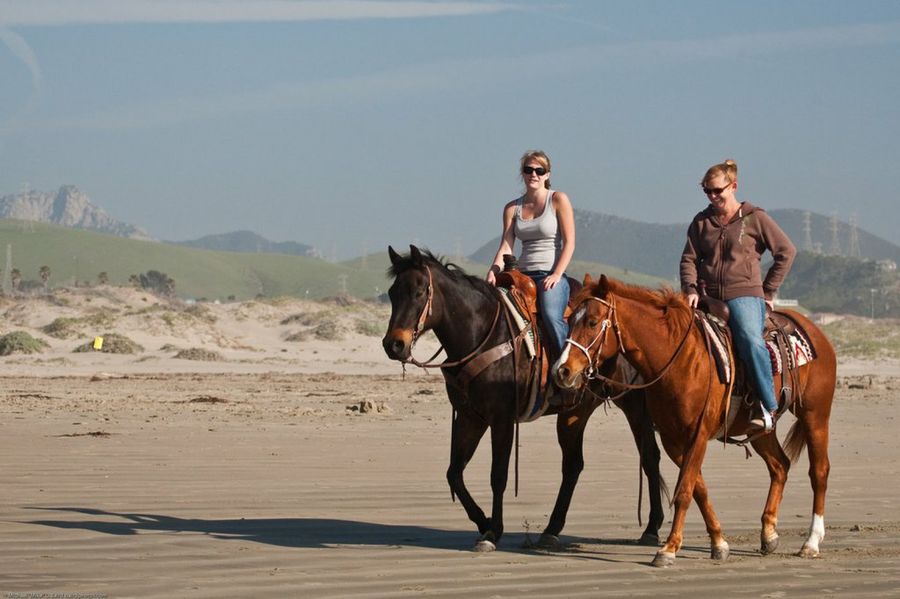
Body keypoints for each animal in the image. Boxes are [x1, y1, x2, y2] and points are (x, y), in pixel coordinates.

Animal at [382, 245, 666, 552]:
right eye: (392, 293)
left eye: (419, 292)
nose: (393, 344)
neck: (482, 333)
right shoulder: (471, 417)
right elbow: (454, 473)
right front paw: (483, 522)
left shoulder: (502, 418)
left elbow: (498, 475)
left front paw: (493, 532)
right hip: (574, 413)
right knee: (573, 466)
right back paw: (552, 530)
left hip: (634, 404)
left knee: (650, 457)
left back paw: (652, 528)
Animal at [554, 274, 836, 567]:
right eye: (570, 320)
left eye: (592, 322)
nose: (562, 371)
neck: (678, 359)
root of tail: (813, 330)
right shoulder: (673, 440)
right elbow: (698, 489)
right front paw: (719, 543)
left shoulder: (697, 435)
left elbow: (685, 491)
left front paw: (668, 549)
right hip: (761, 430)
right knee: (780, 465)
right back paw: (768, 534)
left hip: (815, 415)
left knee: (819, 471)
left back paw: (811, 542)